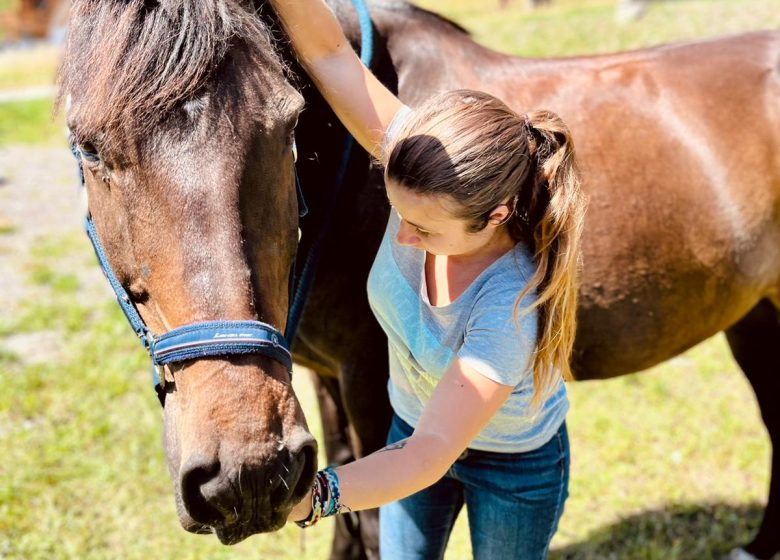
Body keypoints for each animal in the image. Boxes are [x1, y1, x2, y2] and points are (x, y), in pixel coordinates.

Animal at [58, 1, 776, 560]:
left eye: (288, 126)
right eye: (89, 147)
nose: (246, 471)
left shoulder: (370, 385)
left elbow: (373, 525)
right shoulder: (319, 384)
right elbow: (345, 524)